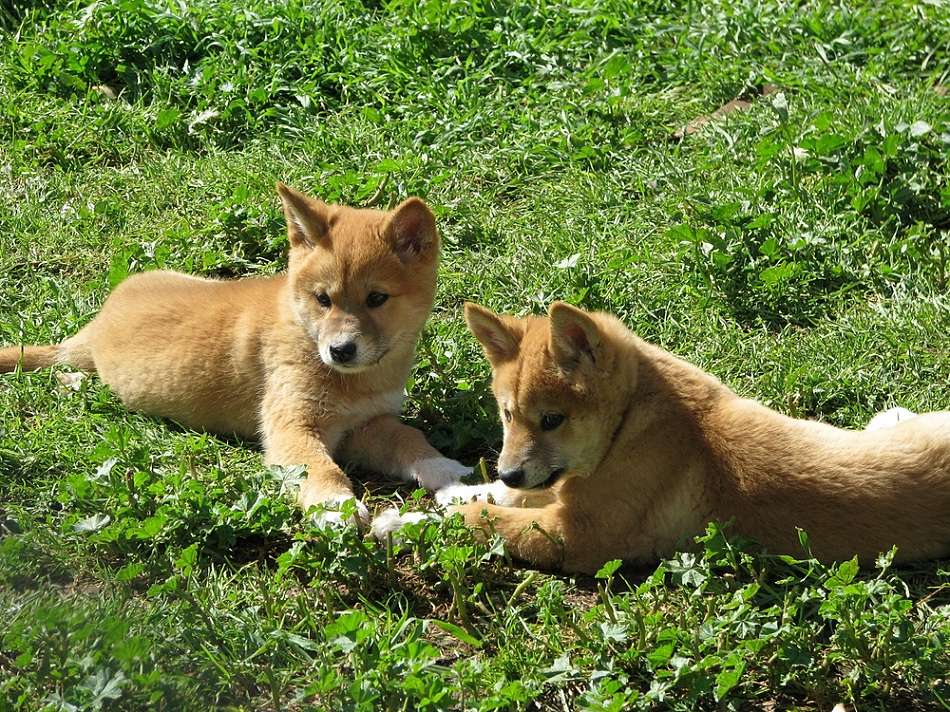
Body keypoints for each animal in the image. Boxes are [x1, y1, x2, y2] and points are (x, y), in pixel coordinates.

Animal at [1, 184, 470, 524]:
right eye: (323, 299)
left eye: (376, 298)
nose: (340, 350)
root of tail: (101, 319)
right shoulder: (292, 426)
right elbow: (320, 469)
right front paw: (335, 507)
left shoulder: (369, 425)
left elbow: (411, 440)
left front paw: (450, 472)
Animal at [374, 300, 950, 572]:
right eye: (507, 414)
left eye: (552, 420)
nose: (512, 468)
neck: (632, 422)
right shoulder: (557, 490)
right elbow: (491, 498)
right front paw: (444, 496)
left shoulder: (576, 536)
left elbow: (484, 520)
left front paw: (403, 526)